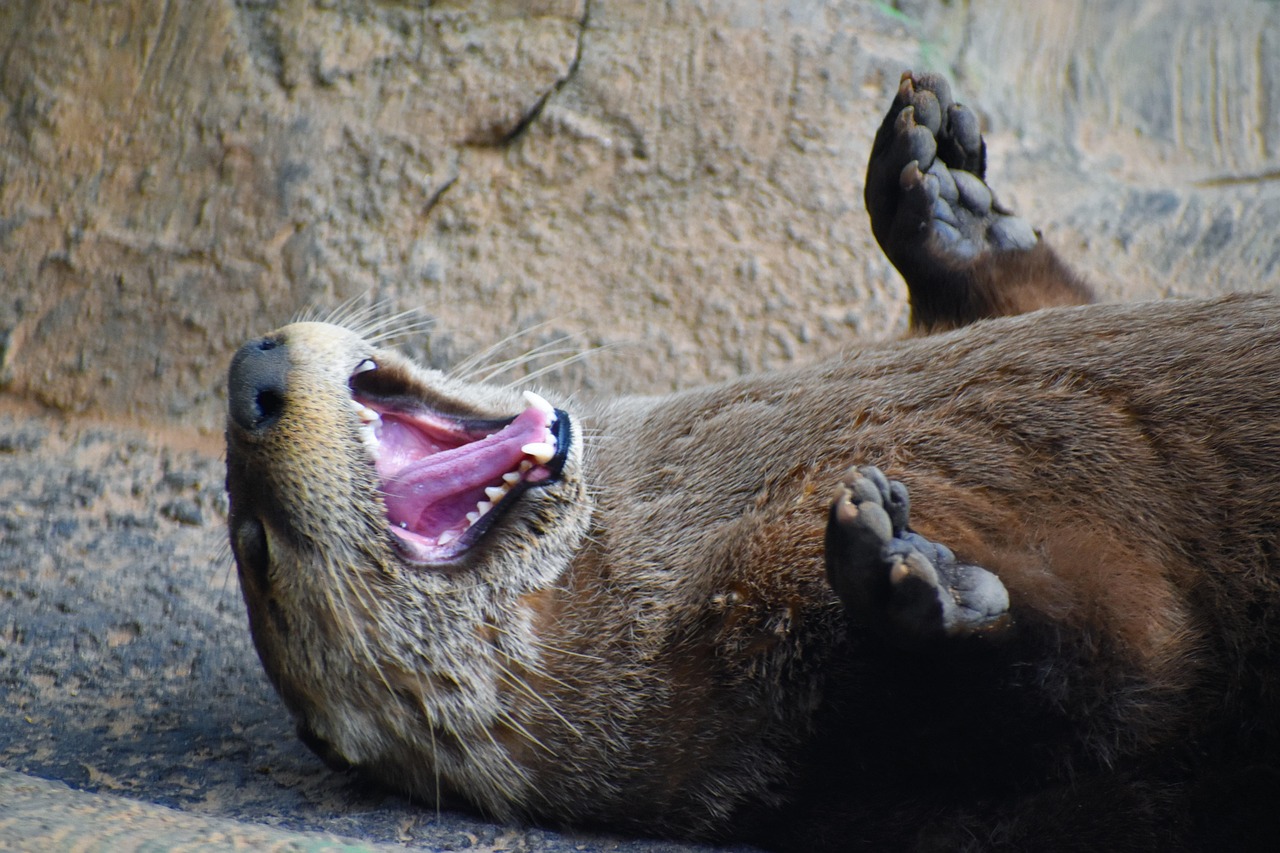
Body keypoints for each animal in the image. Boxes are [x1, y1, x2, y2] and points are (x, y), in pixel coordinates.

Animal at [225, 74, 1280, 851]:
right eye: (254, 548)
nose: (246, 379)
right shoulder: (783, 730)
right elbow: (1130, 681)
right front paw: (912, 581)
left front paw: (943, 201)